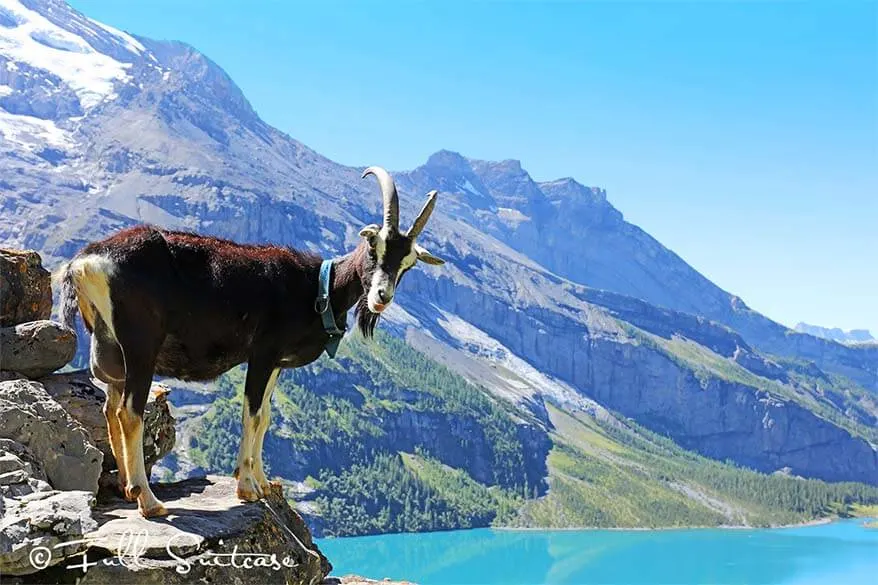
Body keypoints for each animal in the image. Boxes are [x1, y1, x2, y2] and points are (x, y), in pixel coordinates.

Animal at [57, 165, 444, 516]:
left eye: (409, 263)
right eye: (373, 246)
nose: (381, 297)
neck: (317, 287)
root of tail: (84, 262)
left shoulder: (276, 363)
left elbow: (267, 416)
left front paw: (264, 482)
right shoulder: (262, 353)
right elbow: (252, 414)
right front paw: (246, 488)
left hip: (112, 350)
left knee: (110, 408)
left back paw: (127, 489)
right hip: (140, 345)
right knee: (130, 412)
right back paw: (149, 501)